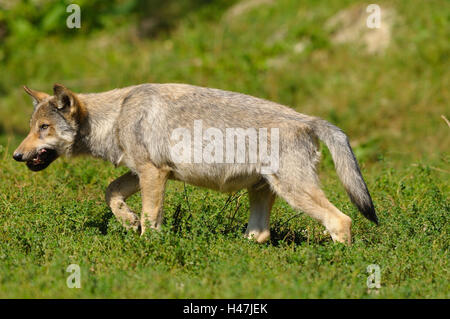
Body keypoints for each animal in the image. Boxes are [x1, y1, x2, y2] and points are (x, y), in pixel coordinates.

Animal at [13, 83, 376, 245]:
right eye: (32, 127)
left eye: (43, 128)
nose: (15, 155)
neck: (116, 116)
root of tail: (308, 120)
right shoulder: (142, 172)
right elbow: (110, 193)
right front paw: (128, 221)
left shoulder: (153, 173)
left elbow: (151, 221)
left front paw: (146, 248)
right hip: (262, 196)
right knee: (259, 236)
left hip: (295, 193)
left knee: (341, 221)